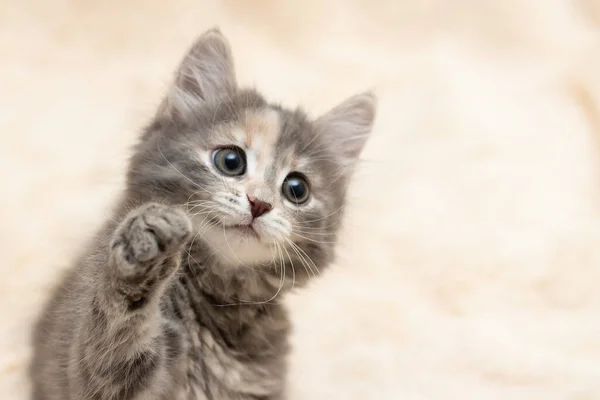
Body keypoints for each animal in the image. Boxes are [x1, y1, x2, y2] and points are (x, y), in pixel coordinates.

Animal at [29, 28, 376, 400]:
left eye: (297, 189)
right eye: (230, 161)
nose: (259, 204)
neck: (221, 297)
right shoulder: (92, 378)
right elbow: (113, 337)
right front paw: (143, 245)